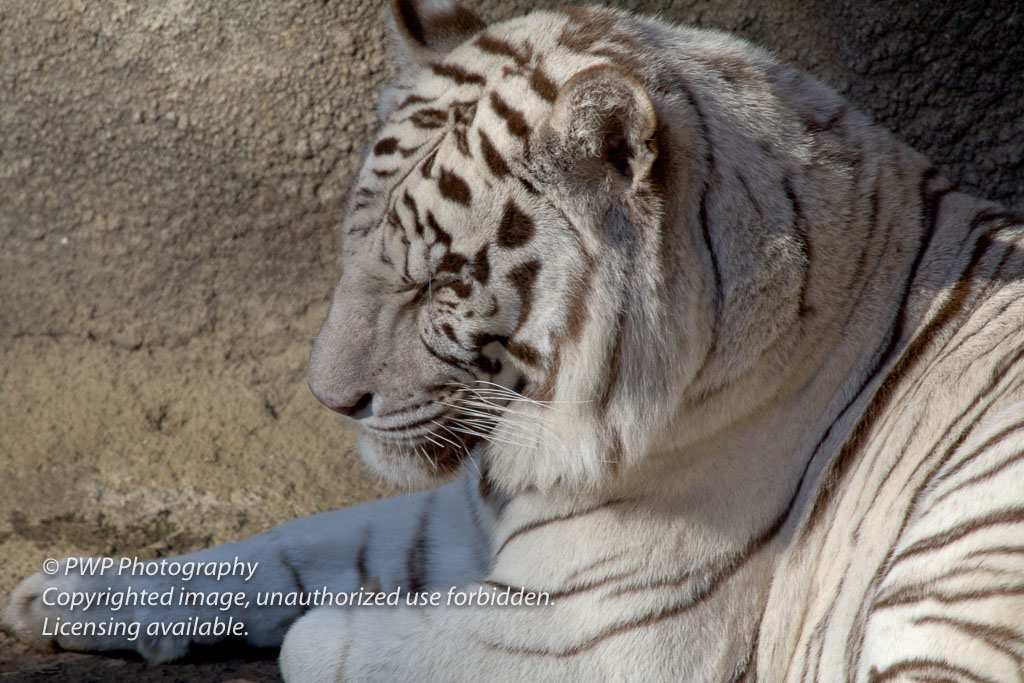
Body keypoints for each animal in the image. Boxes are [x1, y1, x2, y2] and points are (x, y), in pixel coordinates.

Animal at [8, 2, 1024, 679]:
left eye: (437, 284)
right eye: (355, 249)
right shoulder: (465, 511)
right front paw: (66, 590)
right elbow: (285, 543)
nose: (330, 400)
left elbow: (318, 636)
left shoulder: (600, 628)